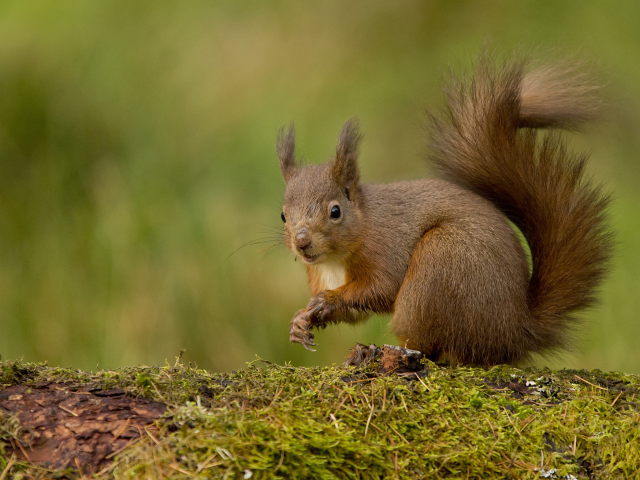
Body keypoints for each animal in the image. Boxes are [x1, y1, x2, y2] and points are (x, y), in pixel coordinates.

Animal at [274, 55, 608, 364]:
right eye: (283, 215)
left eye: (335, 211)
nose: (302, 242)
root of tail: (515, 332)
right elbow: (355, 312)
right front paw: (300, 321)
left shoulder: (386, 248)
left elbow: (381, 288)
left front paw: (326, 301)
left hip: (439, 265)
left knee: (431, 348)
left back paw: (382, 350)